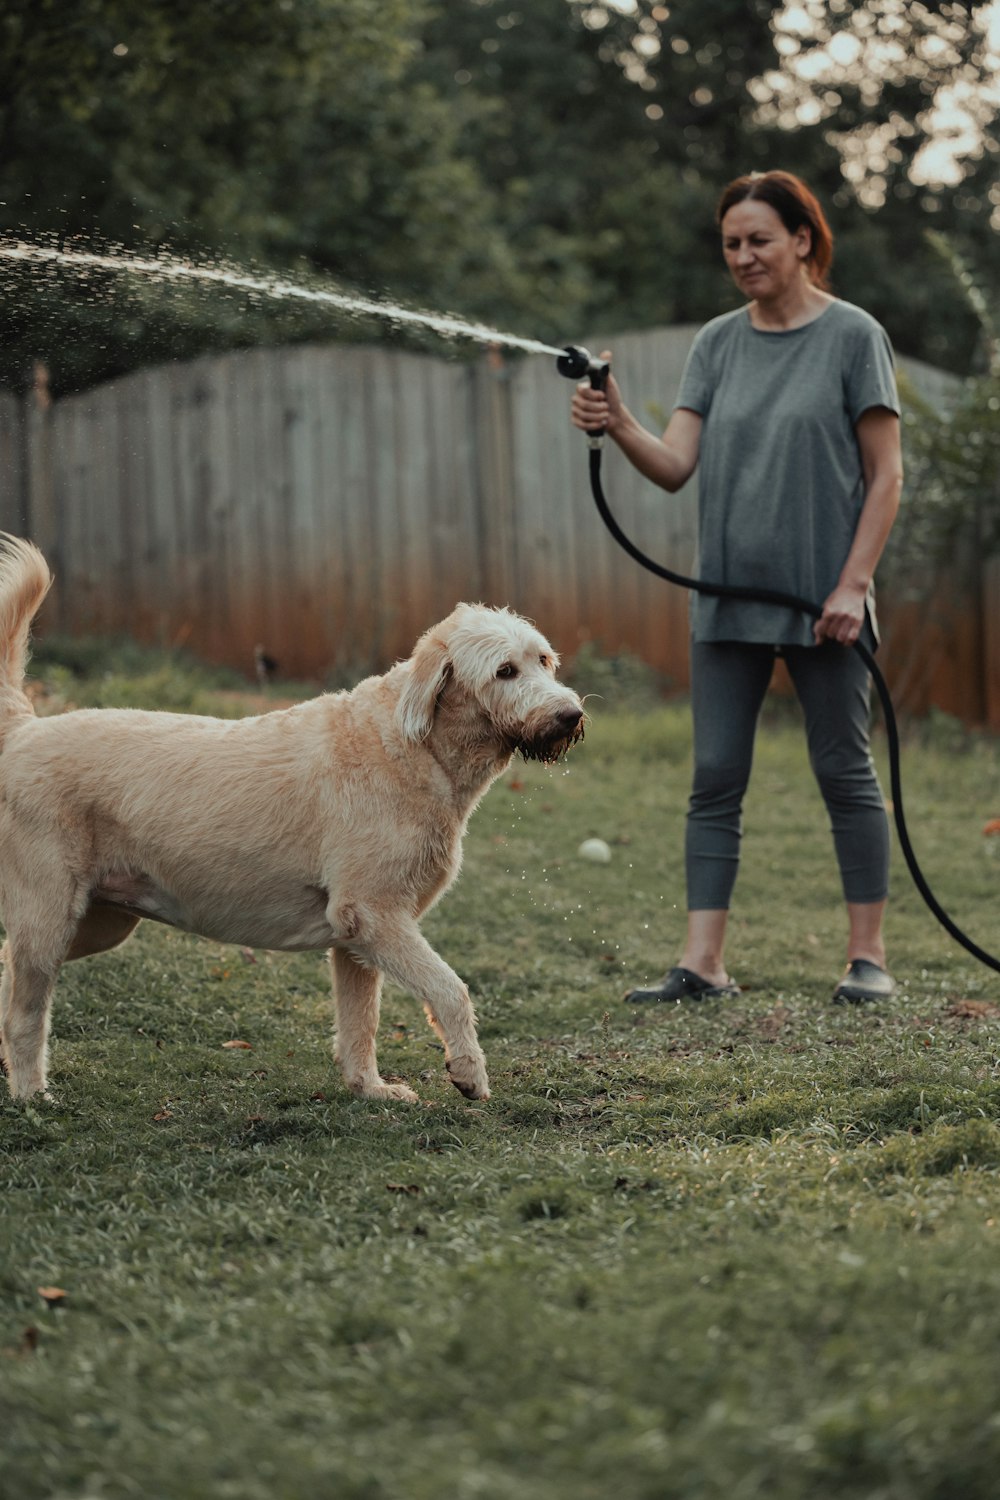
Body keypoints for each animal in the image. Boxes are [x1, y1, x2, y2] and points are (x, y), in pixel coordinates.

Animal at [0, 534, 587, 1110]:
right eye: (505, 671)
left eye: (543, 660)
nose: (571, 715)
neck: (407, 749)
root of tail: (24, 732)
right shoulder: (374, 915)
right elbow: (450, 990)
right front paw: (468, 1072)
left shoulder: (356, 941)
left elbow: (360, 1023)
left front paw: (369, 1088)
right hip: (48, 921)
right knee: (23, 1013)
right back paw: (32, 1093)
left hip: (97, 923)